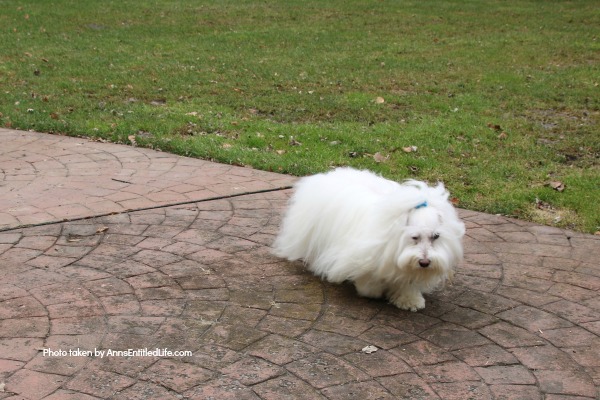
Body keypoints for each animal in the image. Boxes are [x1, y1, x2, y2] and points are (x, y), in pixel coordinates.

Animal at [274, 167, 466, 310]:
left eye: (436, 236)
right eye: (414, 237)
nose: (425, 262)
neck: (395, 239)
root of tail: (329, 174)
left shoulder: (406, 267)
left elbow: (407, 283)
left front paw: (410, 301)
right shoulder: (365, 257)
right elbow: (368, 280)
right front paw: (373, 291)